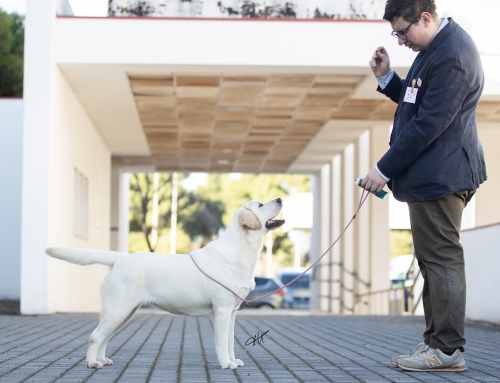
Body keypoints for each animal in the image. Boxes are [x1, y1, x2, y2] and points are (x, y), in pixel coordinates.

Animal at [47, 198, 286, 368]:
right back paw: (91, 363)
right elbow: (221, 343)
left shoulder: (233, 312)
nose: (280, 198)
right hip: (119, 310)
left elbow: (230, 342)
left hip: (124, 313)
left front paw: (233, 360)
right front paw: (226, 364)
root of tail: (121, 258)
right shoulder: (222, 310)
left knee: (104, 338)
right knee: (94, 337)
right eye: (260, 205)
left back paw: (102, 360)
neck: (241, 251)